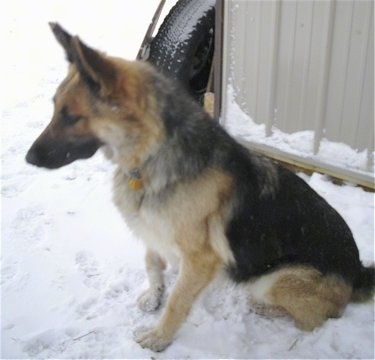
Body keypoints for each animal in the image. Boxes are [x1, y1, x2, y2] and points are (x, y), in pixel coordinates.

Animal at [27, 23, 375, 352]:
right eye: (55, 108)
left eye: (71, 117)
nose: (29, 158)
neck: (154, 153)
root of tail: (358, 271)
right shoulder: (154, 227)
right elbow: (152, 262)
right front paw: (153, 295)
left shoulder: (200, 258)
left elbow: (178, 300)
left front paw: (159, 337)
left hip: (275, 280)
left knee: (316, 320)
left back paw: (266, 307)